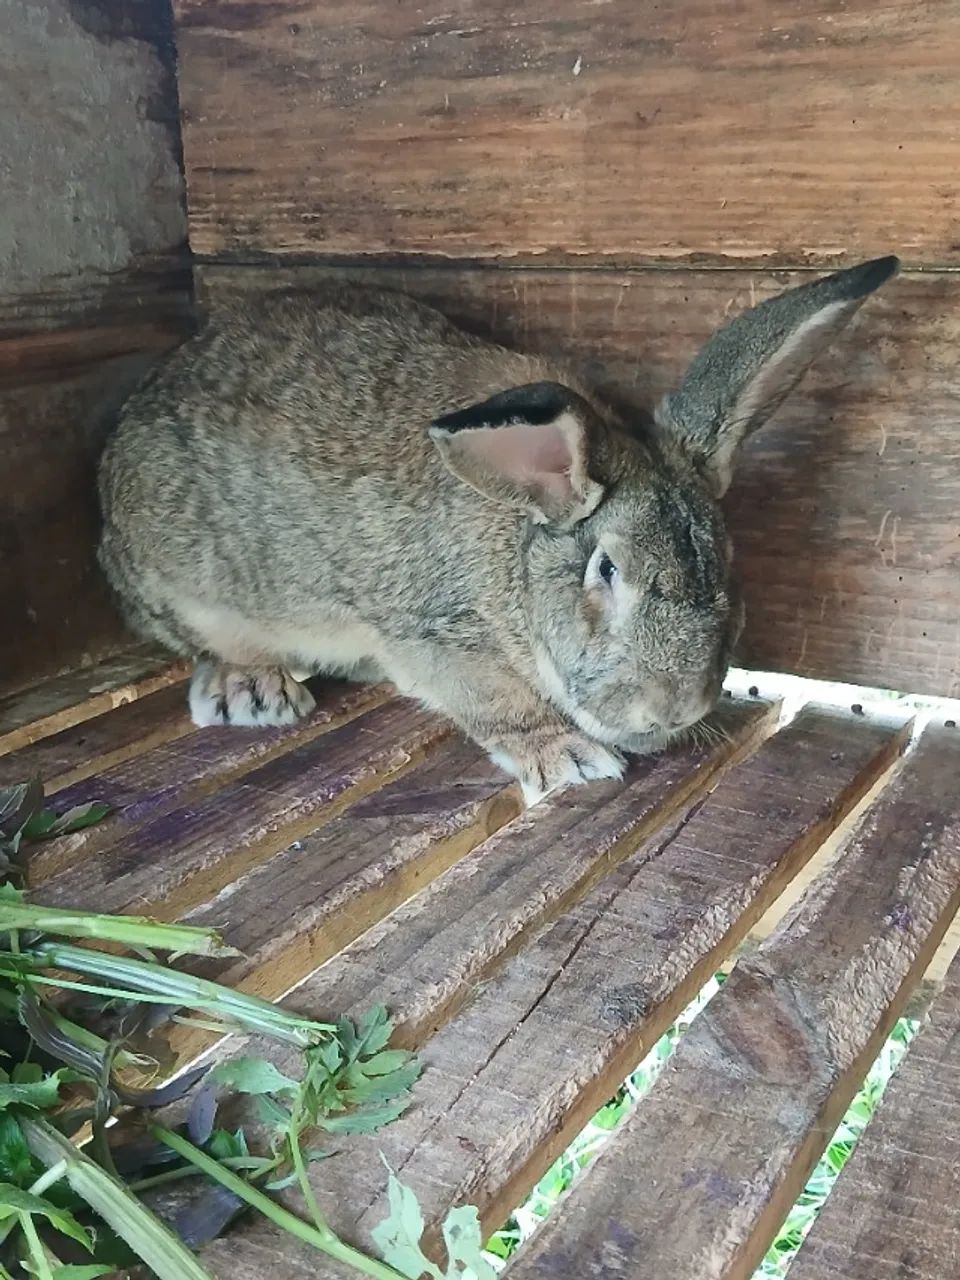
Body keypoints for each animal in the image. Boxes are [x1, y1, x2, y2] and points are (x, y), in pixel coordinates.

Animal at [98, 256, 899, 804]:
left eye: (724, 561)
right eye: (607, 571)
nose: (675, 707)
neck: (518, 540)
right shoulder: (432, 635)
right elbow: (499, 705)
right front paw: (570, 759)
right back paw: (252, 690)